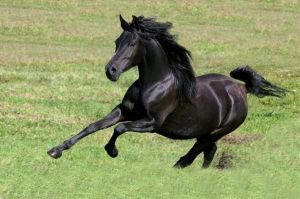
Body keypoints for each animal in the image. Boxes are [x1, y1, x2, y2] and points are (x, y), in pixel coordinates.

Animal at [48, 15, 288, 168]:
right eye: (117, 42)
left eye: (132, 43)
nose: (111, 71)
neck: (156, 84)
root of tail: (241, 88)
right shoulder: (123, 111)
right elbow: (93, 126)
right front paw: (56, 150)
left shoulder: (152, 123)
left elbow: (119, 129)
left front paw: (112, 151)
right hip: (206, 132)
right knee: (208, 153)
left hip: (216, 132)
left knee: (195, 152)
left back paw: (178, 167)